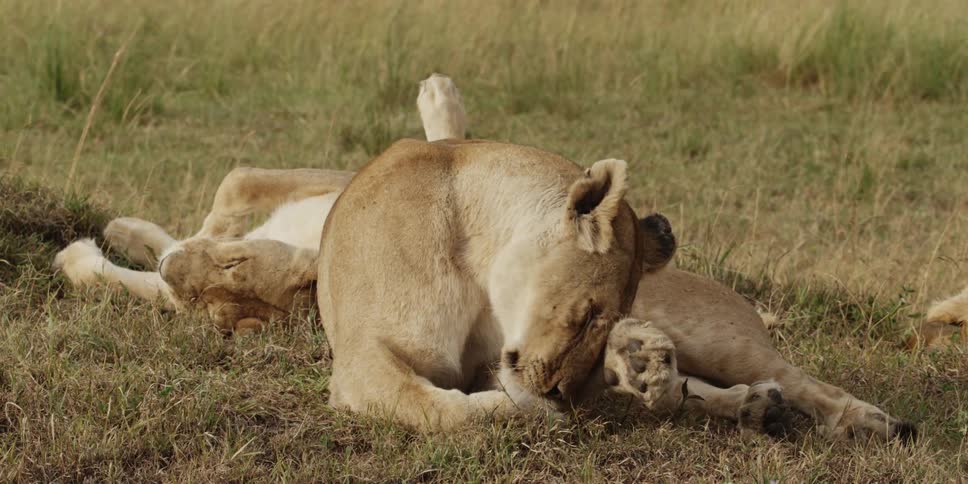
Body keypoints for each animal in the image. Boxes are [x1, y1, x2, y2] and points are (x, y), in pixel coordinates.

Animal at [54, 74, 915, 440]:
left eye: (593, 312)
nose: (566, 390)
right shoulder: (364, 360)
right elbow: (439, 405)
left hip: (723, 331)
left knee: (794, 376)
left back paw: (863, 418)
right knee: (705, 394)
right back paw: (696, 387)